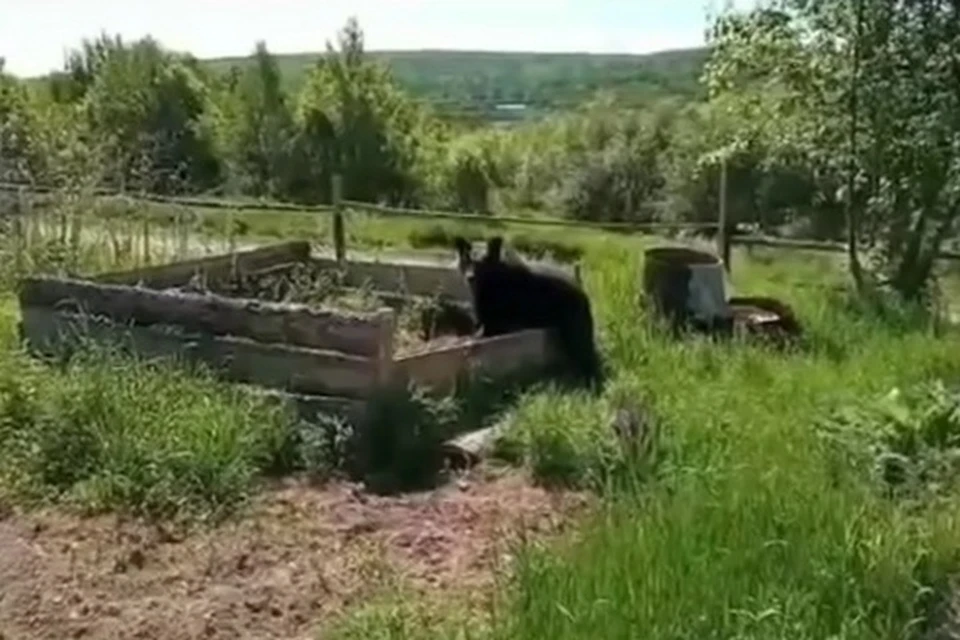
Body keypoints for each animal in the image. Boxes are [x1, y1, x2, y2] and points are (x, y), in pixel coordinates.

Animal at [456, 236, 604, 390]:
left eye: (484, 261)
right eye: (467, 260)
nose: (470, 277)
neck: (495, 281)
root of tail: (582, 291)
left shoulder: (496, 325)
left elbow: (482, 333)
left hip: (575, 331)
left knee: (585, 354)